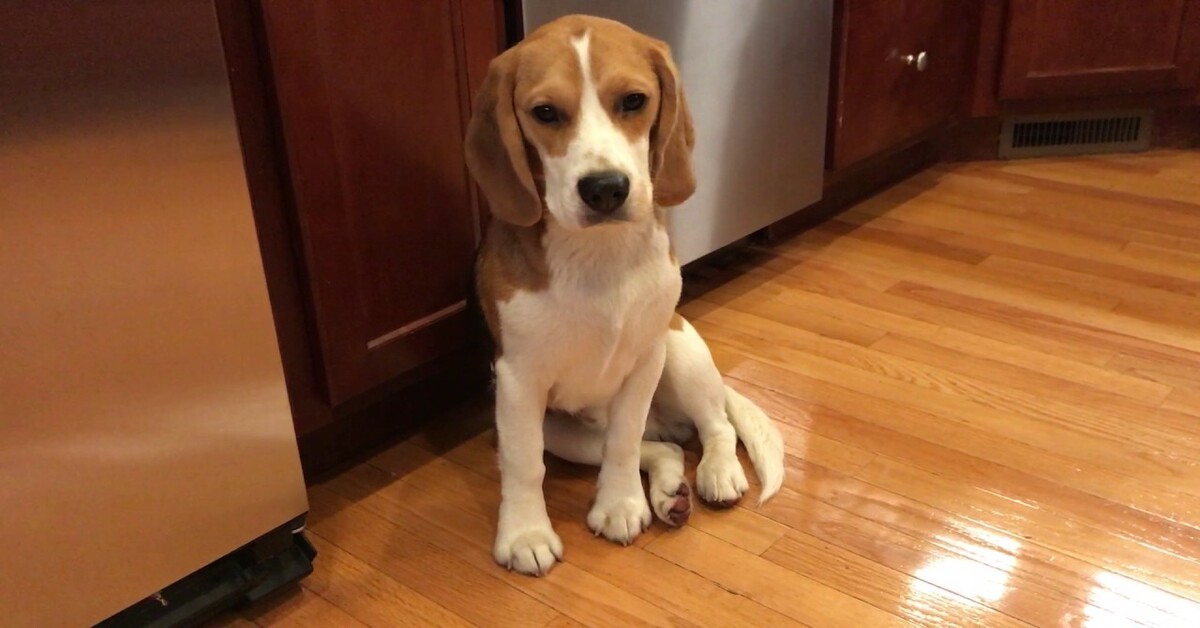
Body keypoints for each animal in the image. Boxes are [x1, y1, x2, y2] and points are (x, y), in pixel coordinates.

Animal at [460, 14, 787, 578]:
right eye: (545, 112)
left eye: (634, 101)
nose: (606, 188)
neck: (599, 255)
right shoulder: (518, 381)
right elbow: (525, 464)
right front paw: (526, 533)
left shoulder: (644, 360)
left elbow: (623, 439)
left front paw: (619, 504)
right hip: (562, 430)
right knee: (663, 448)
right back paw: (668, 491)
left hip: (680, 351)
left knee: (714, 426)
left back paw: (715, 474)